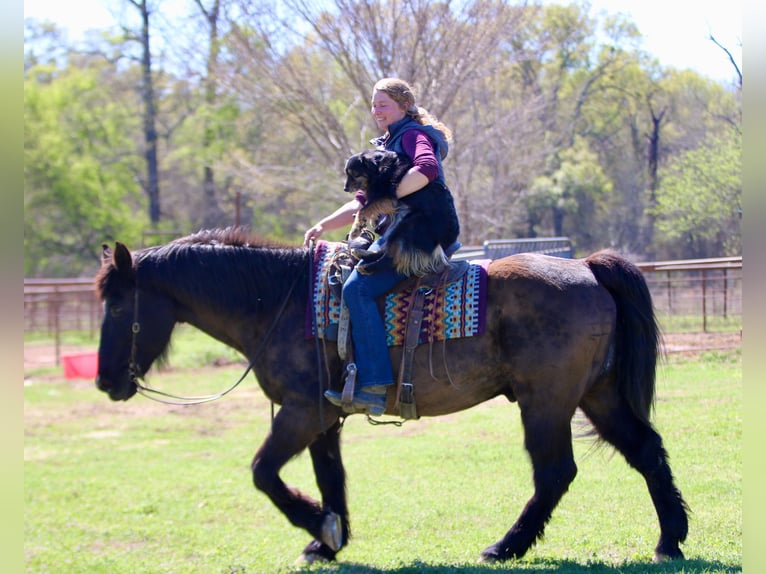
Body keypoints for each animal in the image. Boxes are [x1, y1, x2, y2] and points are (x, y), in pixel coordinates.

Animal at [94, 227, 688, 564]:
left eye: (119, 306)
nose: (104, 382)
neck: (280, 301)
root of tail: (586, 267)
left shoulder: (299, 413)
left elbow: (264, 472)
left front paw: (319, 527)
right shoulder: (323, 416)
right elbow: (330, 477)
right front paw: (328, 538)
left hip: (546, 402)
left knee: (555, 473)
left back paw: (505, 546)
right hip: (598, 394)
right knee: (647, 451)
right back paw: (670, 540)